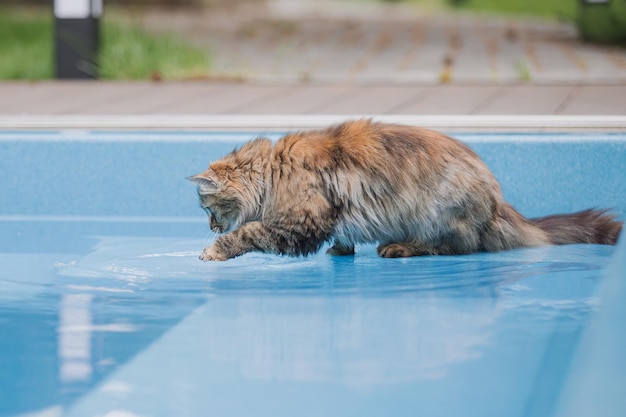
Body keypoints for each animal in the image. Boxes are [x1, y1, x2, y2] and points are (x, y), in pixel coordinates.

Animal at [186, 118, 620, 260]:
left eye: (208, 210)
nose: (210, 227)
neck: (273, 172)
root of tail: (498, 203)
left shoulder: (300, 222)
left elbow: (249, 233)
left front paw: (214, 251)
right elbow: (342, 236)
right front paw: (341, 250)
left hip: (438, 213)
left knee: (455, 248)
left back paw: (399, 248)